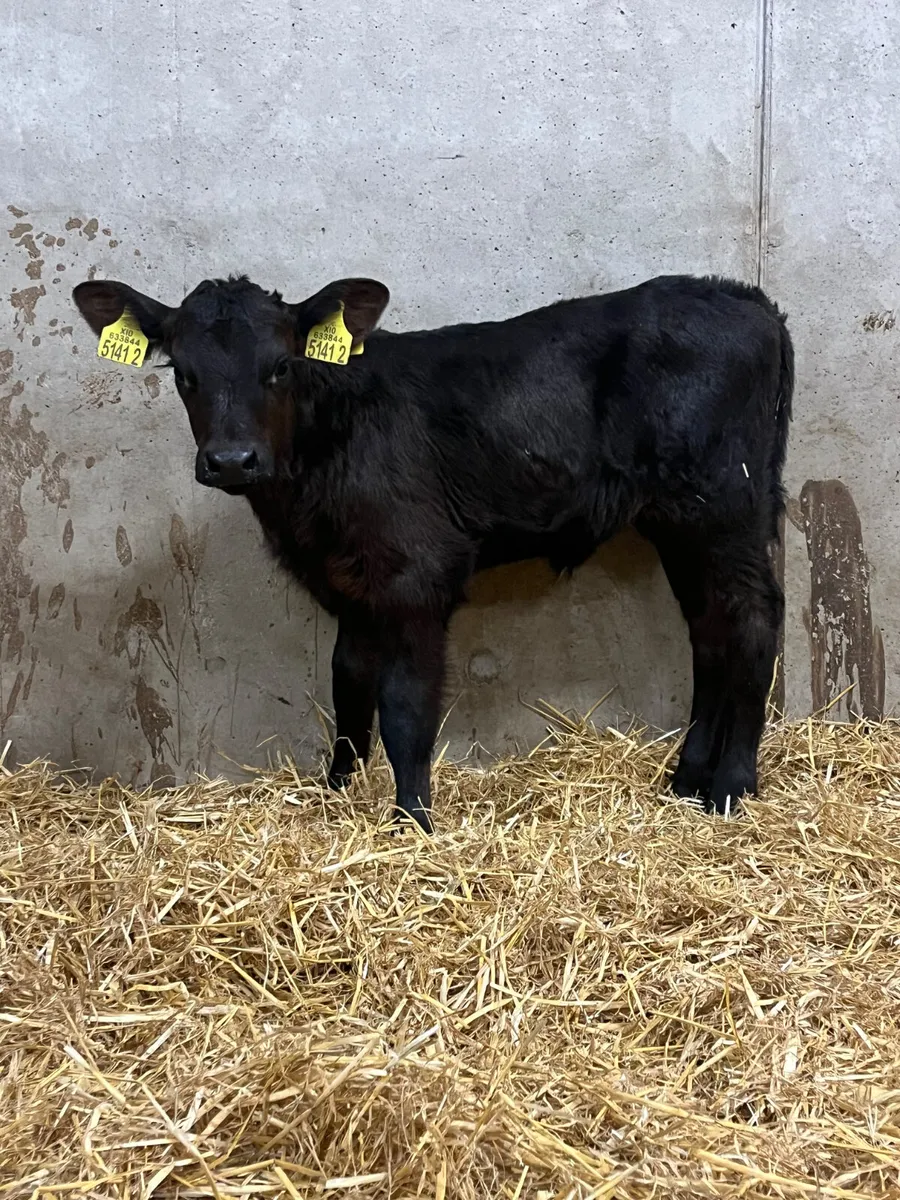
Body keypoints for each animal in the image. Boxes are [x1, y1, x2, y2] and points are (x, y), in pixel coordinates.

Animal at [73, 271, 793, 833]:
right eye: (183, 374)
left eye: (281, 366)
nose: (230, 460)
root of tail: (747, 297)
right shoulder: (348, 579)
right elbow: (348, 683)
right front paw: (339, 790)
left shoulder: (417, 574)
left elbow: (404, 704)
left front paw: (411, 820)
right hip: (682, 520)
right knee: (710, 631)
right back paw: (687, 779)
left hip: (724, 503)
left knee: (753, 619)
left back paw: (731, 785)